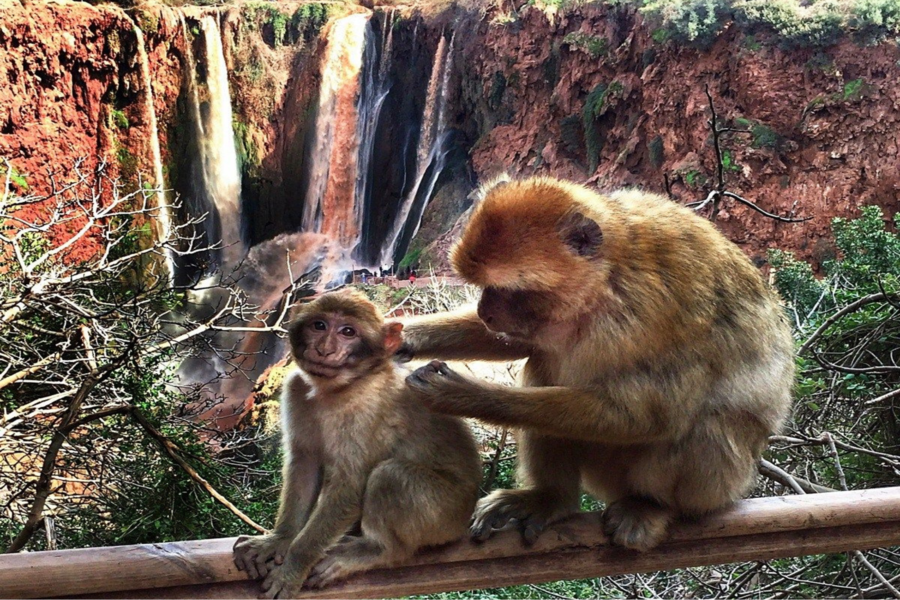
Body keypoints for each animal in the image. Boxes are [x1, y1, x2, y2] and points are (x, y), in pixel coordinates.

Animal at [232, 289, 482, 598]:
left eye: (348, 332)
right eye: (319, 326)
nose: (325, 349)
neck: (341, 387)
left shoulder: (366, 409)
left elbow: (350, 485)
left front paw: (293, 567)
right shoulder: (296, 389)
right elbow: (305, 464)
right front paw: (279, 540)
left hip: (446, 515)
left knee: (391, 476)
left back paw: (377, 549)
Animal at [401, 177, 794, 552]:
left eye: (510, 290)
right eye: (484, 287)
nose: (485, 312)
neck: (606, 277)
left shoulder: (653, 311)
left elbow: (652, 415)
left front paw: (460, 394)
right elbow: (520, 344)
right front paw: (404, 336)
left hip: (716, 485)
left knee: (704, 427)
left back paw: (654, 505)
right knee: (543, 366)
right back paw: (552, 498)